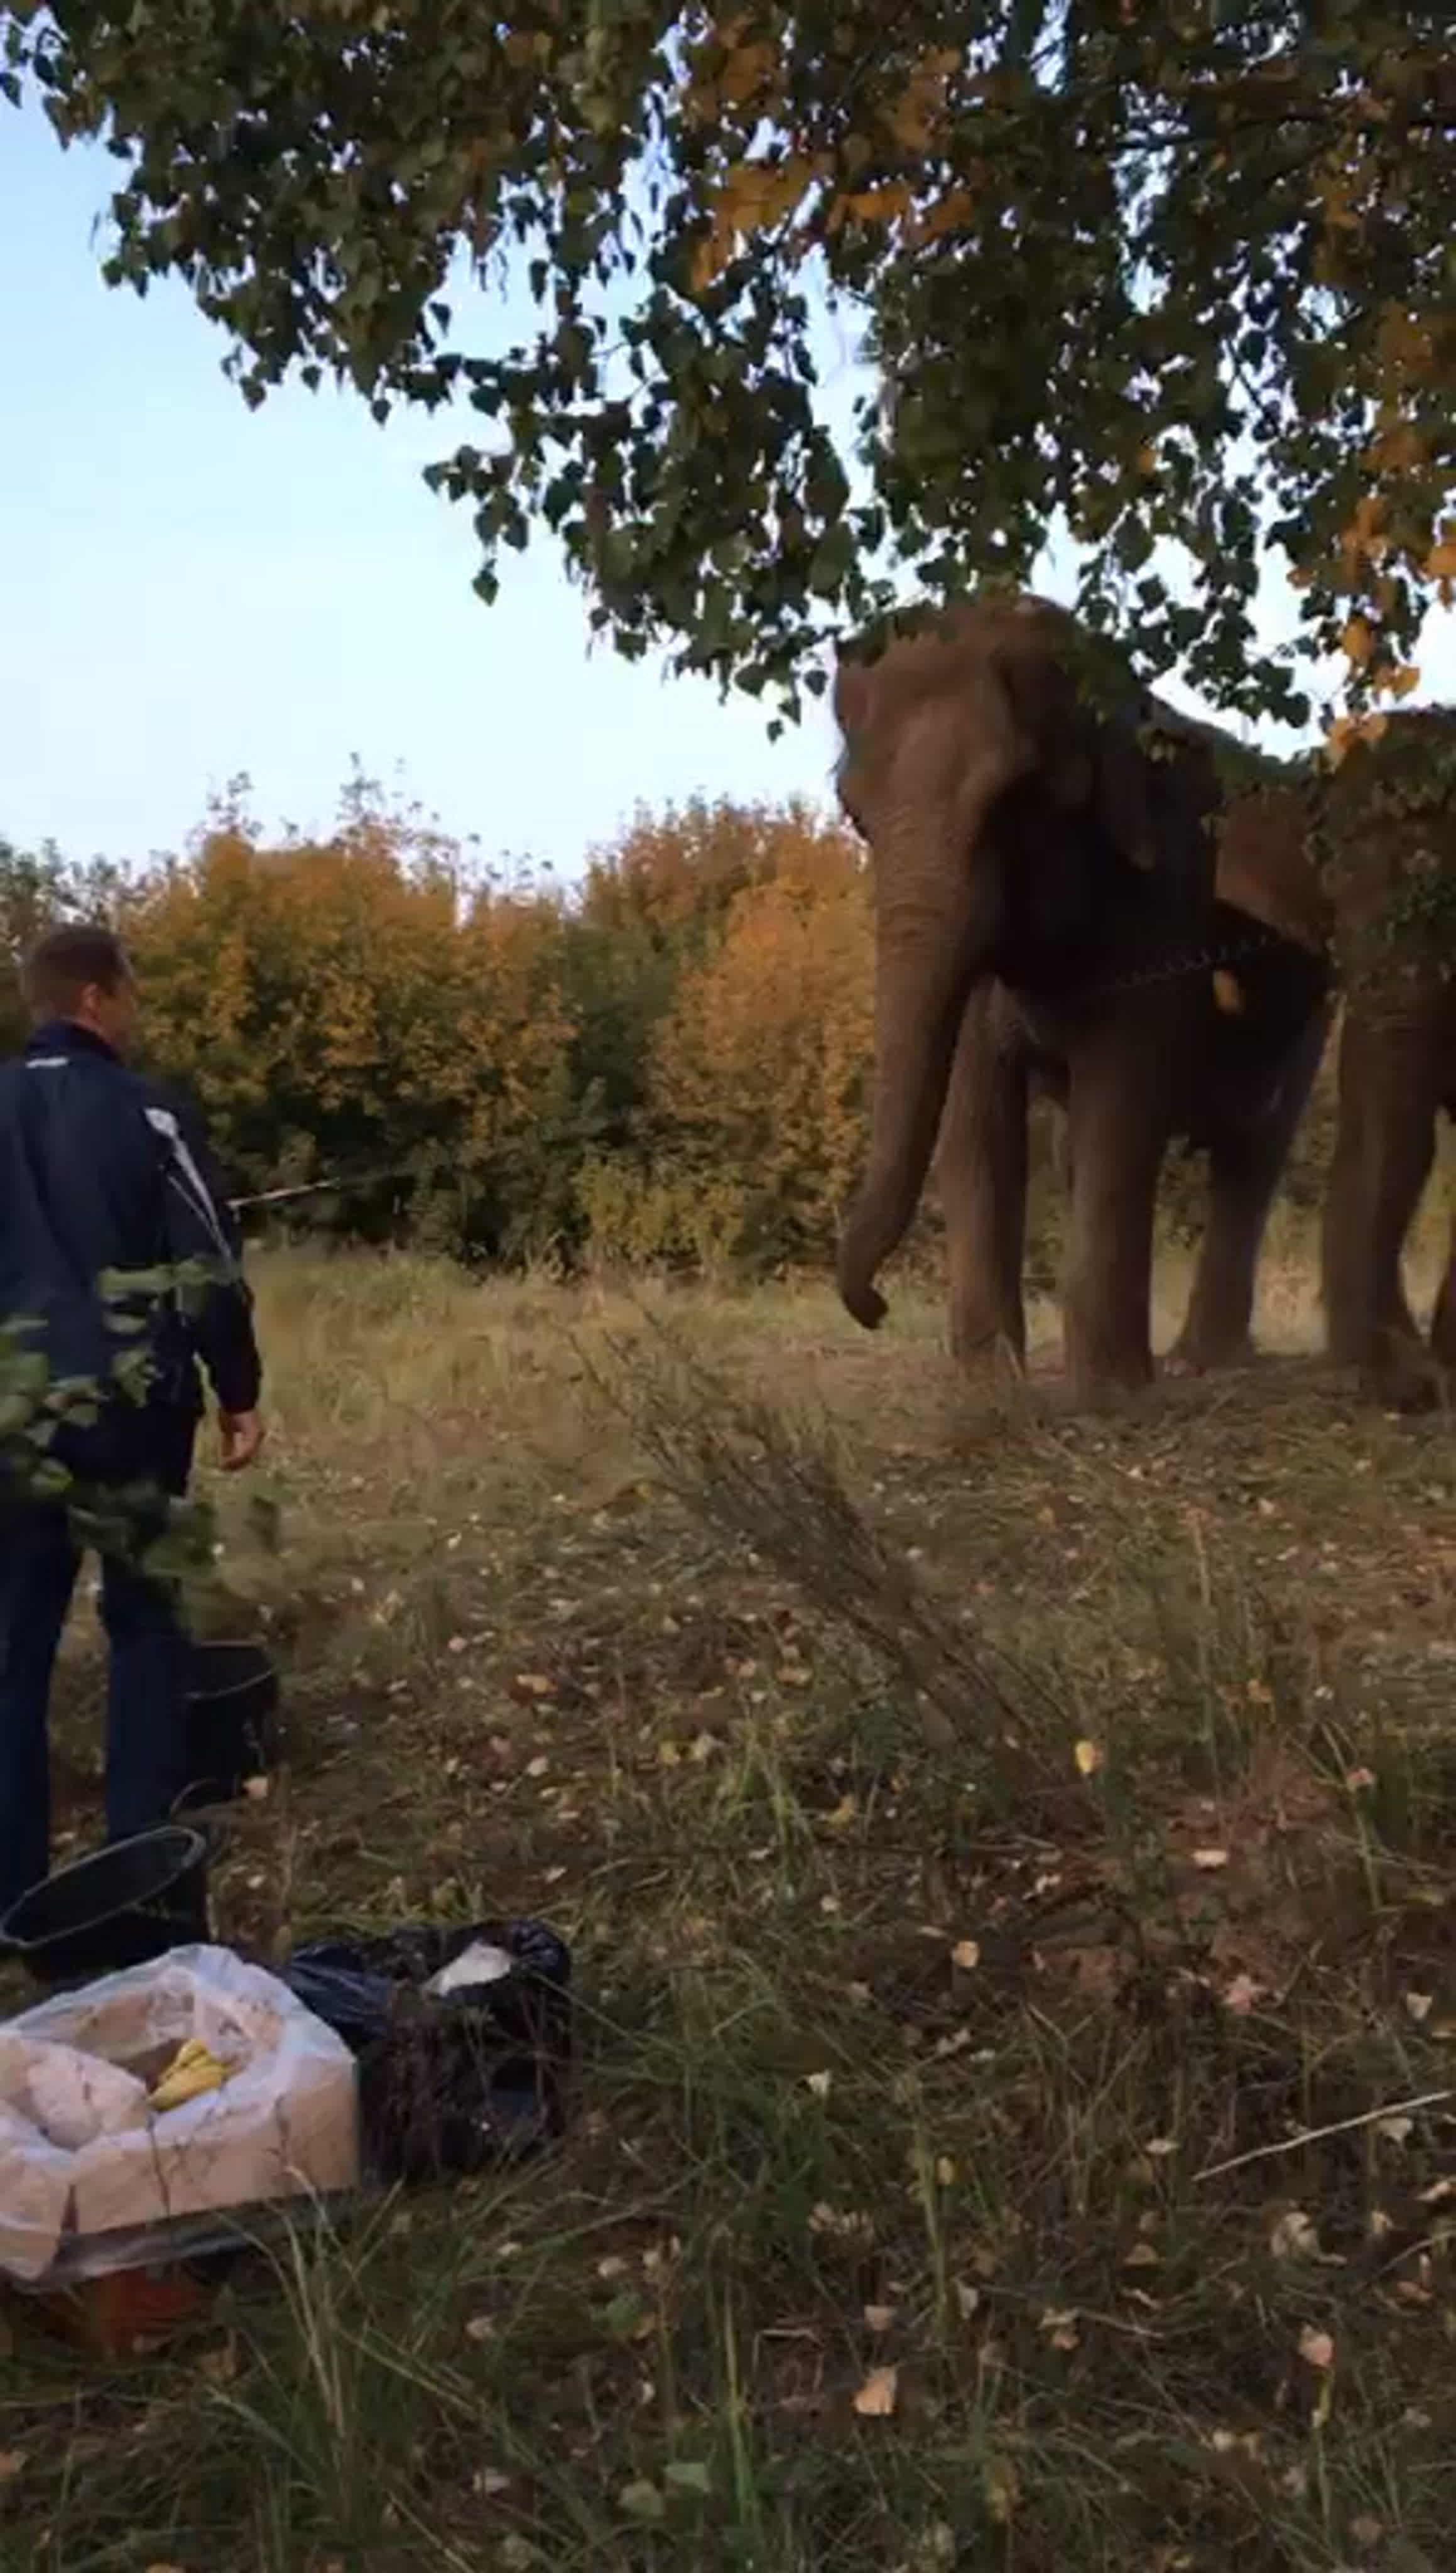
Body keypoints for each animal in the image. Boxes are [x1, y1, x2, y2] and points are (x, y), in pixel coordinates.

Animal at [828, 594, 1337, 1410]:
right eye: (853, 814)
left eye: (1012, 802)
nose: (873, 1307)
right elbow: (977, 1123)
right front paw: (990, 1388)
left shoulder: (1162, 898)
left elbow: (1119, 1105)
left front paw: (1109, 1396)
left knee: (1251, 1154)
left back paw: (1204, 1363)